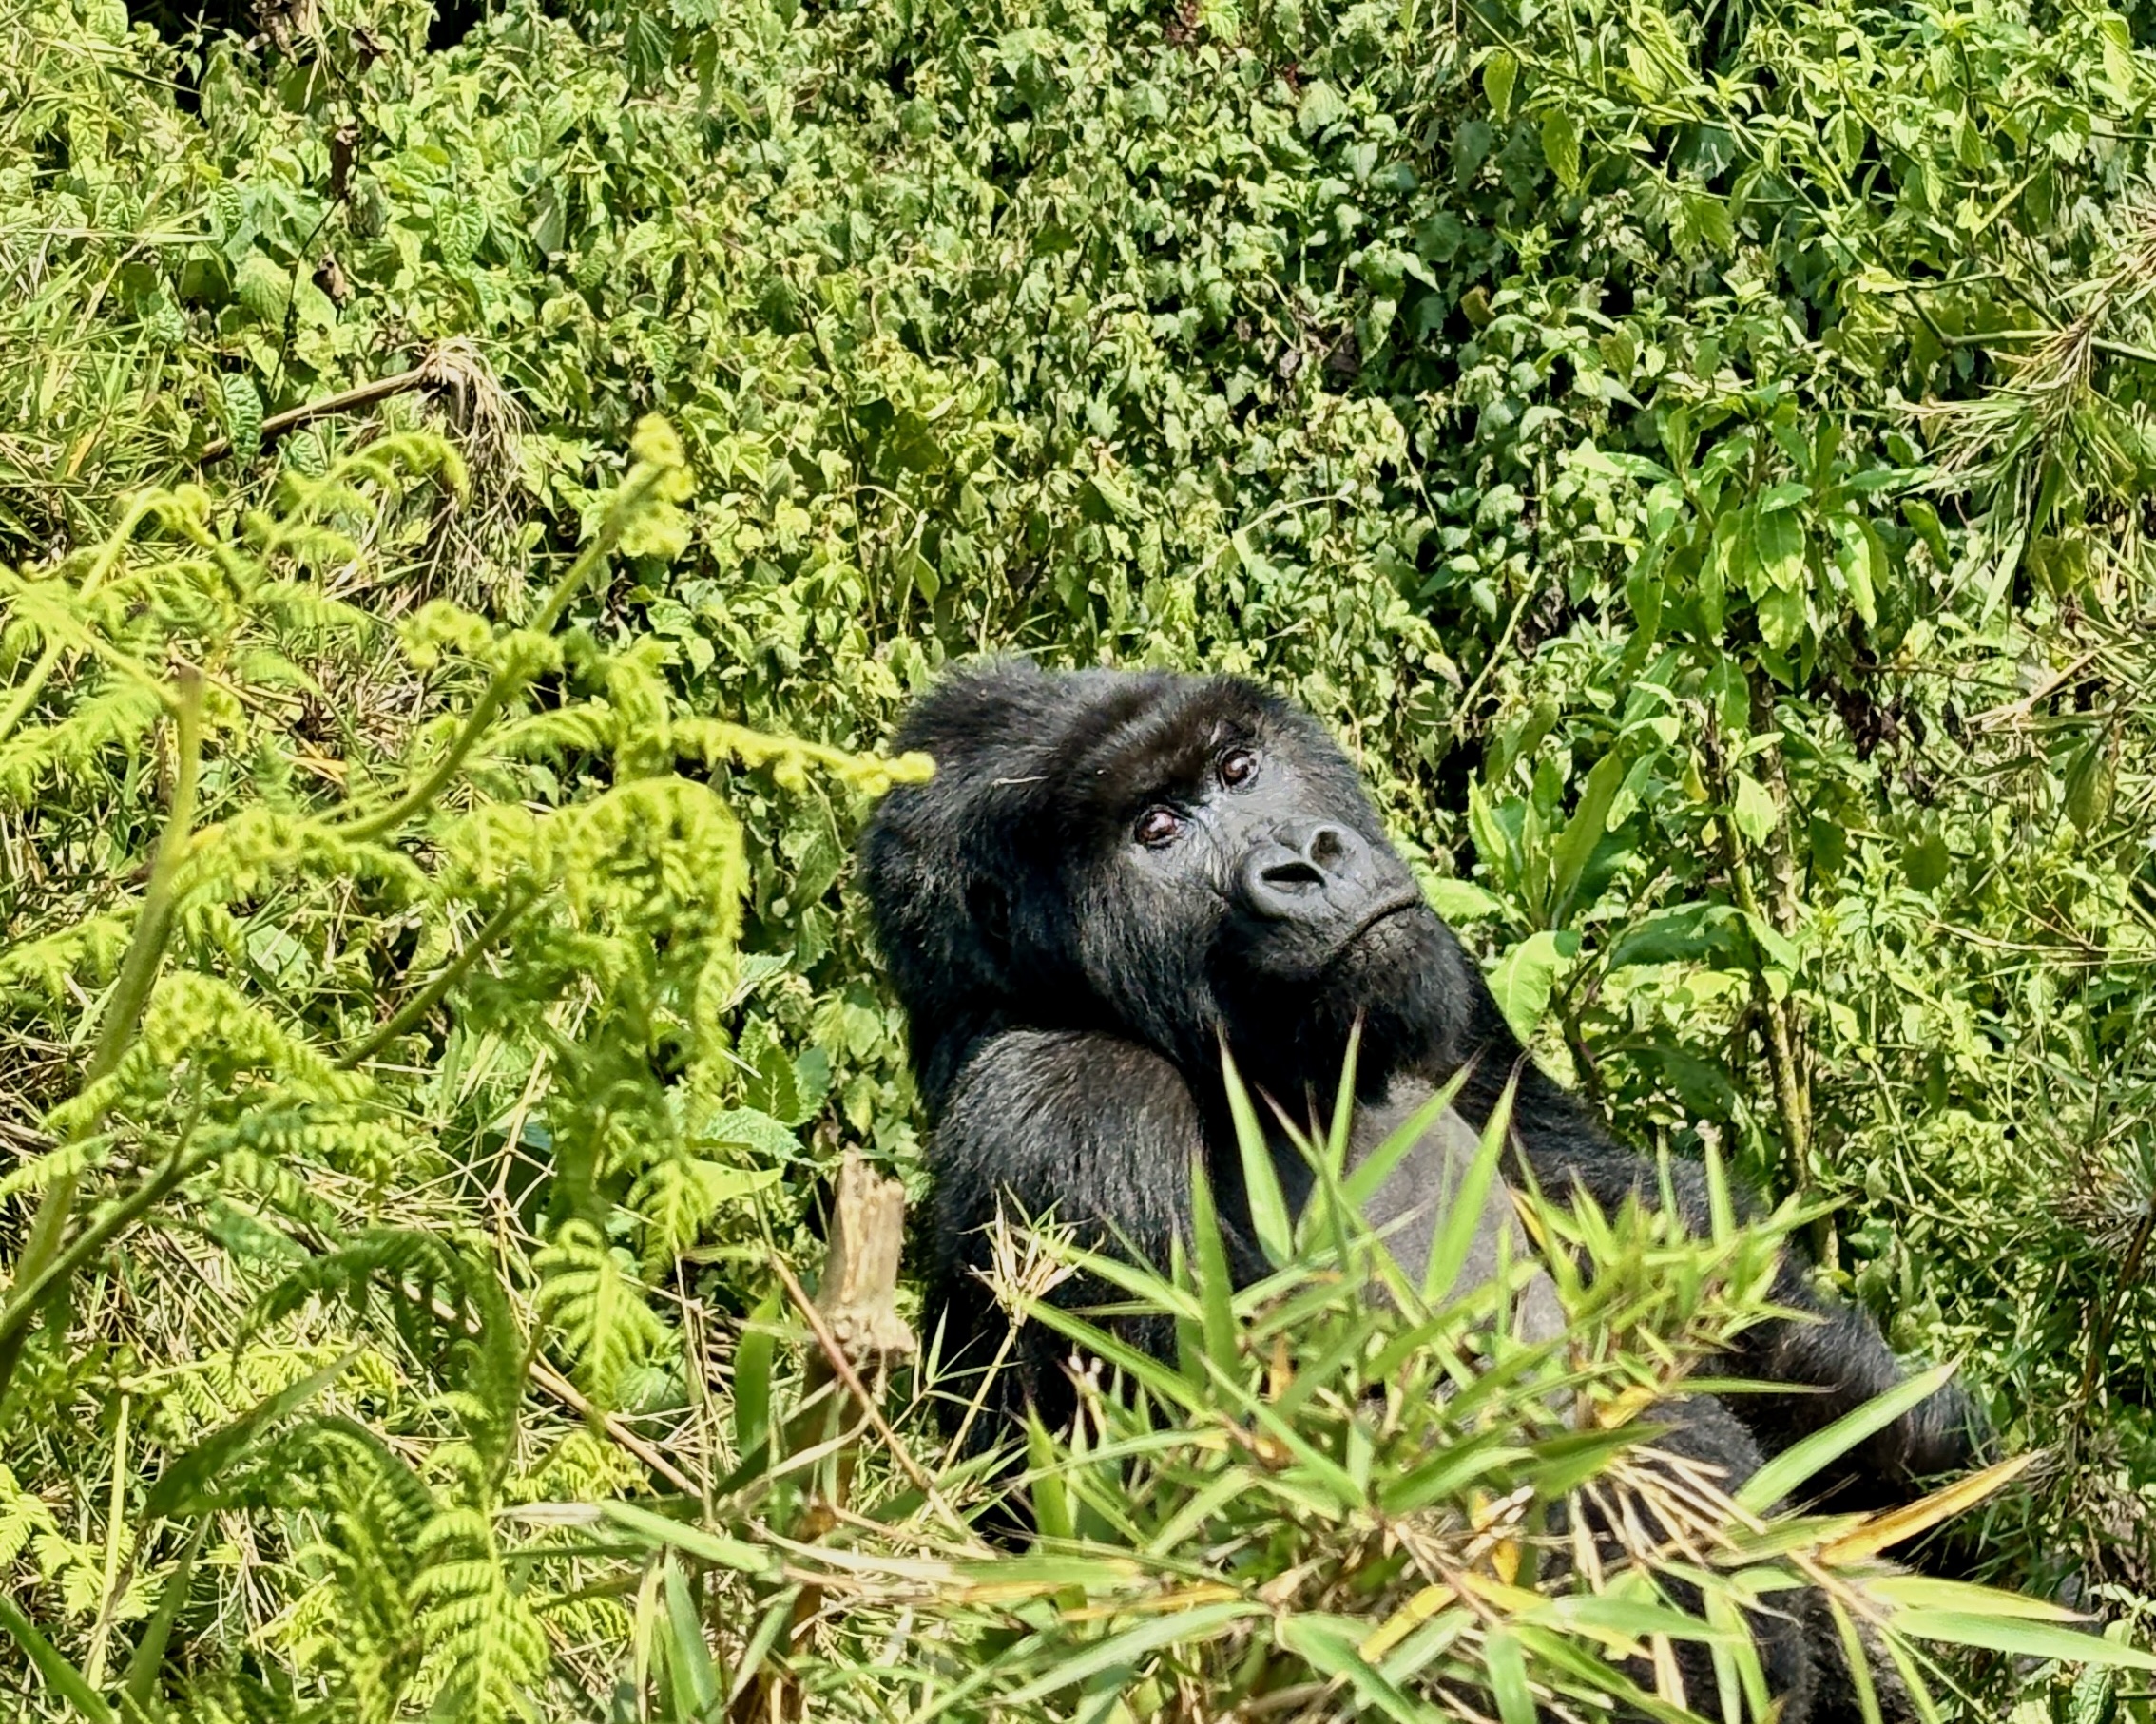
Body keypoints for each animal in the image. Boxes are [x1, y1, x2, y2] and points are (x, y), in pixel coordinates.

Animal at [857, 655, 1983, 1706]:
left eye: (1238, 767)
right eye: (1158, 829)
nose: (1306, 860)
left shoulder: (1428, 970)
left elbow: (1640, 1224)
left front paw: (1930, 1461)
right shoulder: (1067, 1115)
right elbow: (1214, 1559)